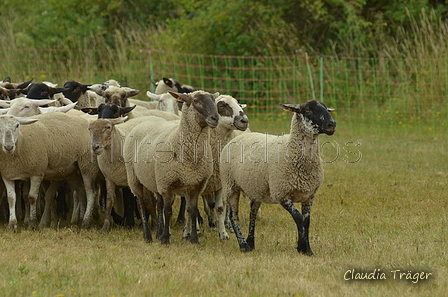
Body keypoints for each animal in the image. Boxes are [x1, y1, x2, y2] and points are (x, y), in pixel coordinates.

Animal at [220, 99, 336, 254]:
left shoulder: (309, 196)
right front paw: (302, 247)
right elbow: (298, 218)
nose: (332, 124)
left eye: (326, 109)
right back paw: (244, 245)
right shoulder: (281, 193)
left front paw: (306, 249)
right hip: (230, 185)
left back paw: (251, 242)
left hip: (257, 189)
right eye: (308, 110)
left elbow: (306, 222)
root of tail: (239, 137)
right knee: (234, 217)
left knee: (252, 213)